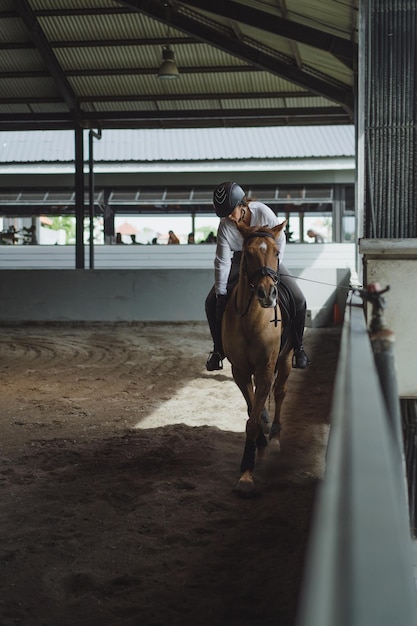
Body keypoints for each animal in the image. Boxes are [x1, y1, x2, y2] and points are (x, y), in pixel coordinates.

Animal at [223, 222, 294, 494]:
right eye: (248, 253)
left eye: (276, 252)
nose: (267, 294)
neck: (251, 320)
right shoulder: (240, 371)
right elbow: (251, 408)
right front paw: (252, 457)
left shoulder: (265, 368)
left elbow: (253, 419)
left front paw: (246, 475)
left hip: (286, 359)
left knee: (280, 392)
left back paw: (275, 435)